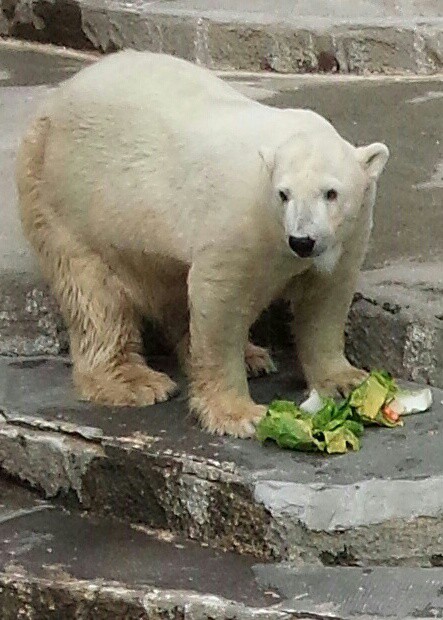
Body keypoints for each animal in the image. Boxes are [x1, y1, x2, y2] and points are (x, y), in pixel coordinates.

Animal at [16, 49, 388, 436]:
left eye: (331, 193)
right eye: (283, 194)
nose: (302, 240)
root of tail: (53, 102)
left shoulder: (350, 234)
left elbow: (325, 300)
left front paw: (346, 381)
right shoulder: (241, 223)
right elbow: (220, 301)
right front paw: (240, 413)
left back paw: (252, 356)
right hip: (68, 202)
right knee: (94, 297)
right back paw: (135, 381)